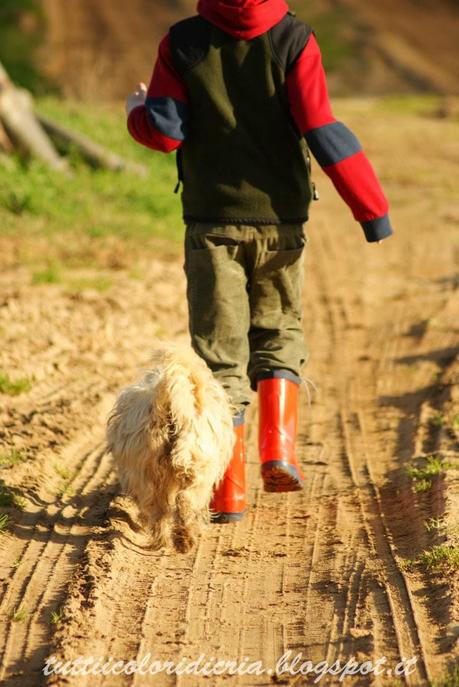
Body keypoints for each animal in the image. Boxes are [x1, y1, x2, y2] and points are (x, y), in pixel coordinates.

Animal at [106, 344, 235, 552]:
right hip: (193, 468)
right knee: (179, 502)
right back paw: (178, 540)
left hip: (149, 469)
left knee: (162, 506)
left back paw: (172, 540)